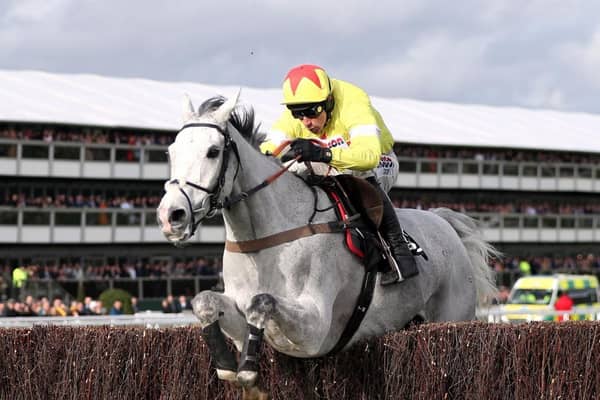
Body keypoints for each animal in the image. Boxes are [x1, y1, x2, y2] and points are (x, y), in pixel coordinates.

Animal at [155, 93, 496, 394]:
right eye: (170, 152)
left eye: (213, 151)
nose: (171, 215)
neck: (263, 241)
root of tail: (444, 223)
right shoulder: (238, 308)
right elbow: (205, 301)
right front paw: (226, 363)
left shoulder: (316, 330)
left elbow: (261, 302)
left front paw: (248, 368)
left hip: (454, 316)